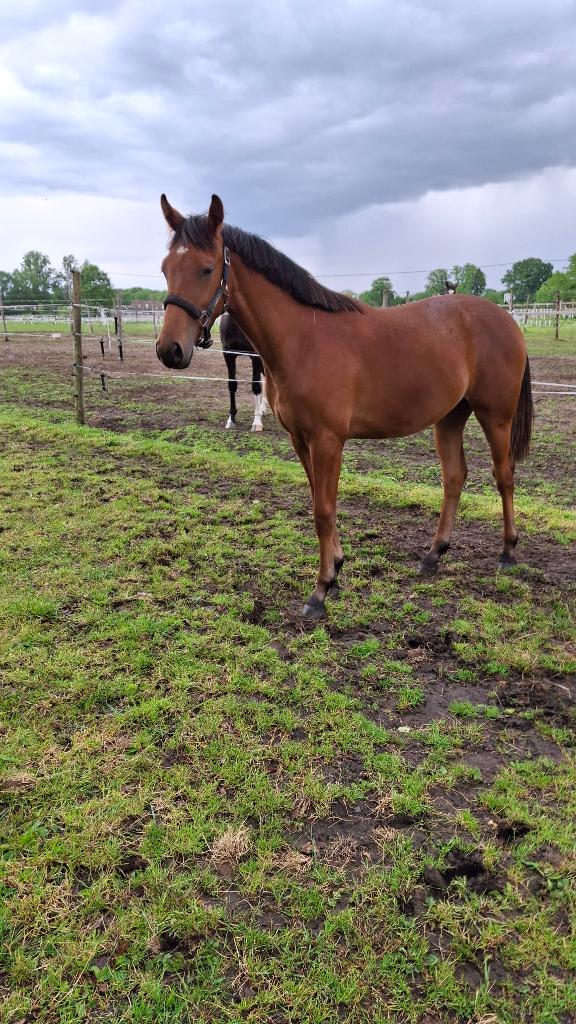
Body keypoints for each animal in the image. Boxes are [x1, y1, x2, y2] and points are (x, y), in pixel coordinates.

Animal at [157, 194, 533, 621]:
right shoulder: (301, 440)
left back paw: (507, 552)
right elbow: (319, 504)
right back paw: (433, 555)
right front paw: (335, 569)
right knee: (454, 477)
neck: (303, 338)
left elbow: (323, 510)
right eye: (166, 268)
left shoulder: (327, 441)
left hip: (496, 416)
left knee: (504, 475)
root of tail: (507, 319)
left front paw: (320, 591)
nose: (170, 350)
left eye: (206, 269)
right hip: (450, 417)